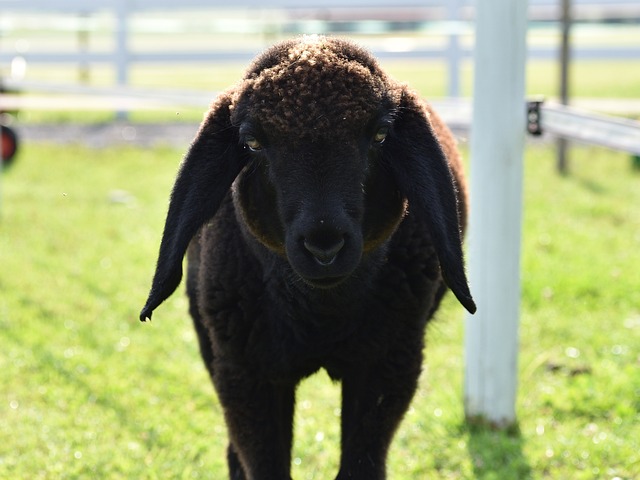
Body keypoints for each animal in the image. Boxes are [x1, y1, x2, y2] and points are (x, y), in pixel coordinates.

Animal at [139, 34, 476, 480]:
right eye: (253, 142)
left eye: (380, 134)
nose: (324, 246)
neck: (321, 314)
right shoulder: (246, 373)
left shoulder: (389, 364)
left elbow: (360, 467)